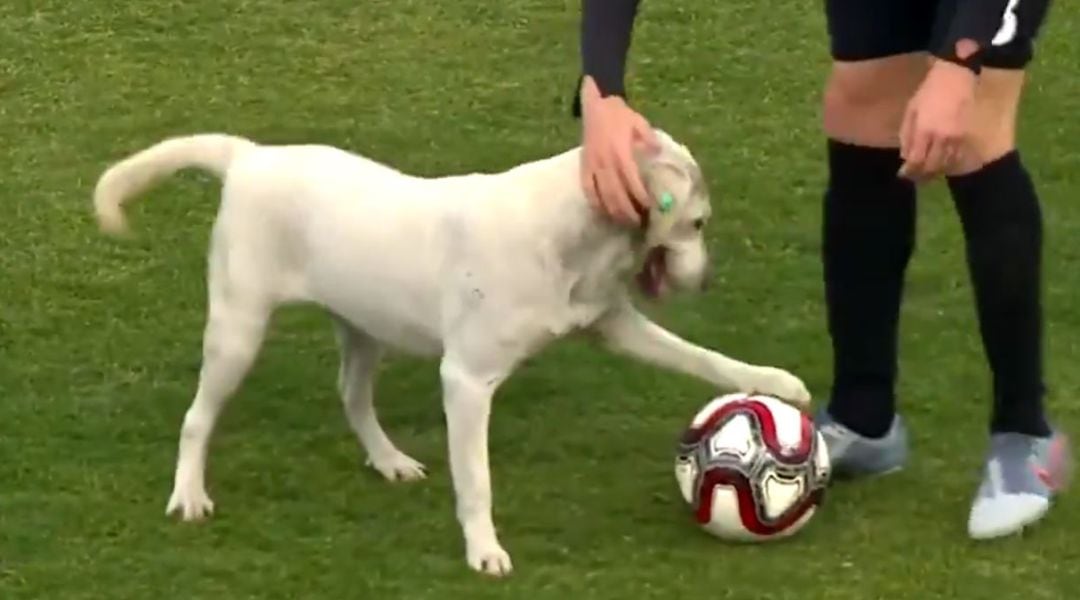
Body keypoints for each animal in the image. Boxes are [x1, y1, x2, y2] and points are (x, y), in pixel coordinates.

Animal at [95, 131, 812, 578]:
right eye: (697, 223)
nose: (708, 280)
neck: (573, 234)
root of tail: (250, 157)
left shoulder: (613, 326)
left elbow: (704, 358)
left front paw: (777, 382)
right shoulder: (466, 380)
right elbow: (477, 480)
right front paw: (484, 549)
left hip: (365, 327)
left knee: (352, 397)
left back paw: (388, 460)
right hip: (238, 333)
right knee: (197, 419)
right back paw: (189, 495)